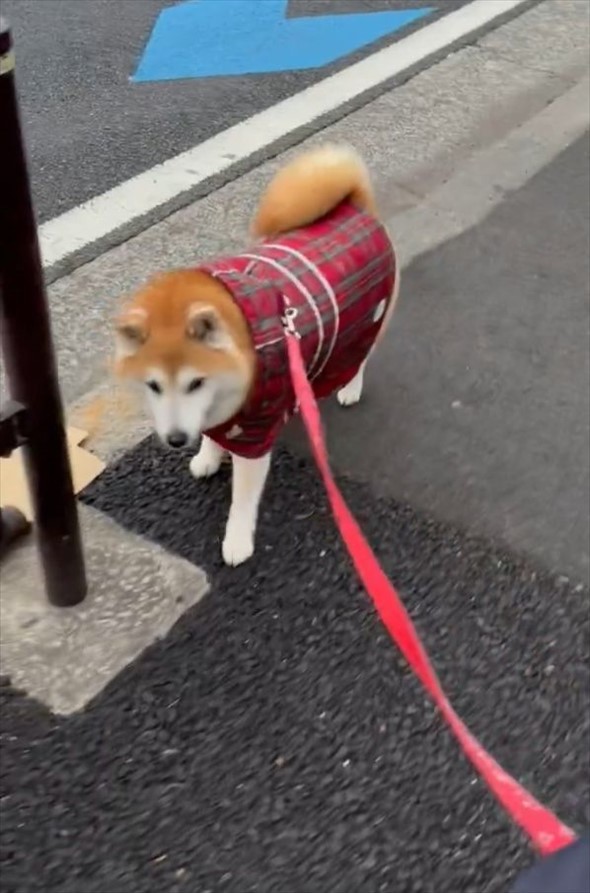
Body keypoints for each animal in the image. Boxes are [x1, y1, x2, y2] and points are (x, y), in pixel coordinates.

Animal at [114, 145, 402, 564]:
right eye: (152, 385)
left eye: (195, 382)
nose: (176, 439)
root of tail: (353, 205)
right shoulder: (221, 413)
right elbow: (213, 433)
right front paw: (208, 455)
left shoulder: (255, 433)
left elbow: (243, 499)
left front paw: (237, 540)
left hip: (368, 320)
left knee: (360, 357)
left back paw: (347, 387)